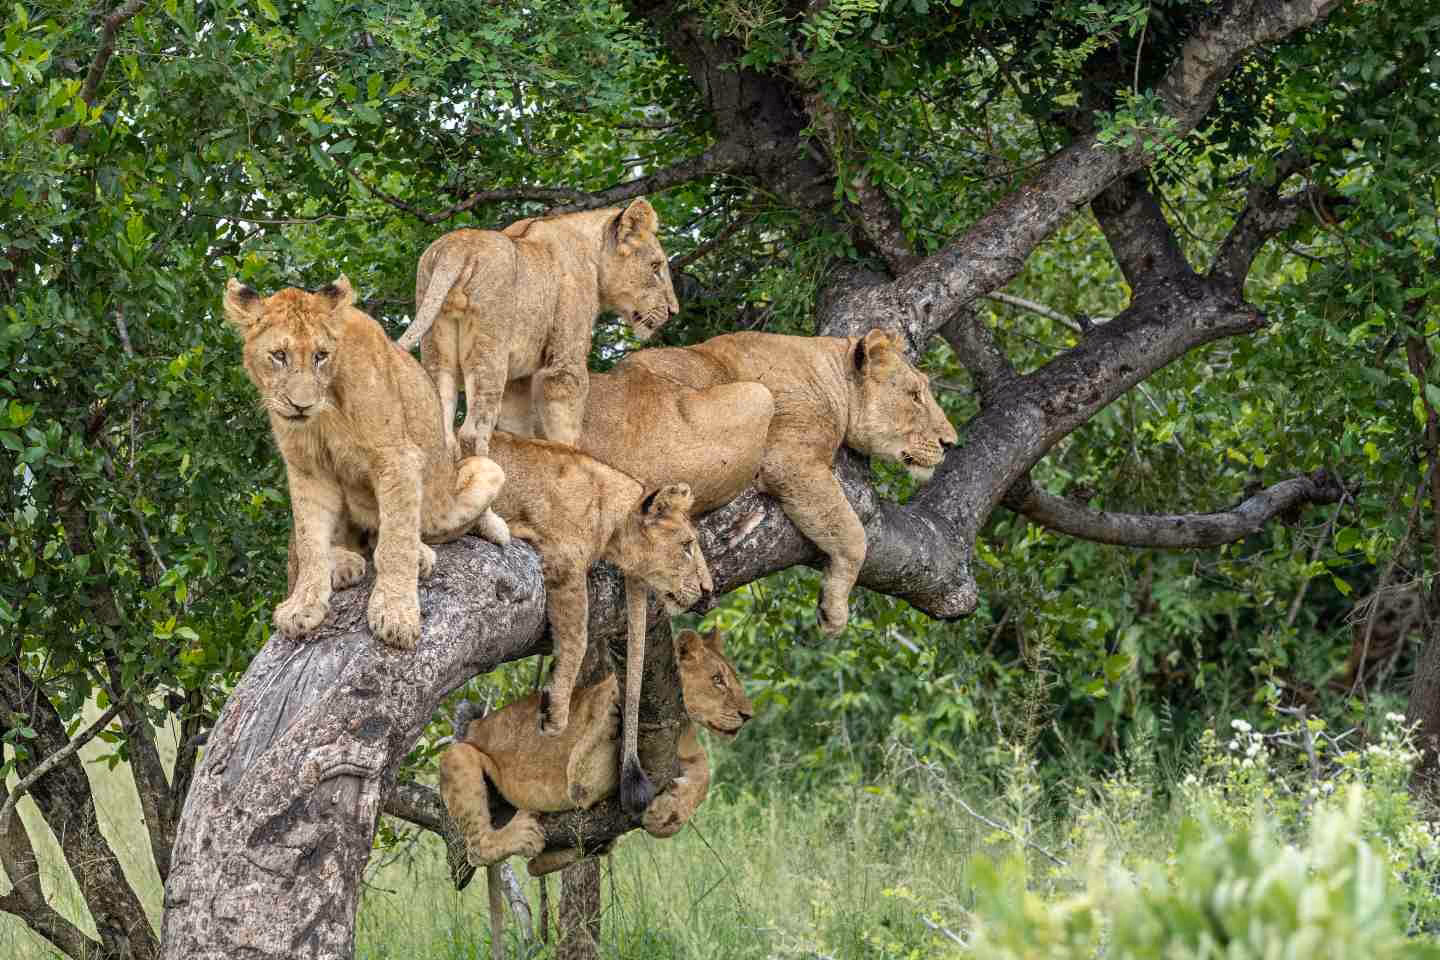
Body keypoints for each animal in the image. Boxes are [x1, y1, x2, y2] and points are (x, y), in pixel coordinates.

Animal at [224, 276, 510, 650]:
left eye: (320, 356)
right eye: (279, 356)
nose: (301, 406)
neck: (325, 411)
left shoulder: (397, 457)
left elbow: (396, 541)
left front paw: (396, 614)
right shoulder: (307, 470)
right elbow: (309, 539)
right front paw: (302, 606)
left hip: (482, 473)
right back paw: (344, 564)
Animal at [395, 199, 680, 457]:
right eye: (656, 267)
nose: (673, 311)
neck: (593, 255)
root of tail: (457, 246)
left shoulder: (517, 378)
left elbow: (518, 424)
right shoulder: (564, 360)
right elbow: (566, 423)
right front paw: (574, 457)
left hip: (436, 341)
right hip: (490, 350)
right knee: (472, 431)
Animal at [438, 627, 753, 957]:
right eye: (717, 679)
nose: (748, 715)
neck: (681, 724)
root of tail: (474, 727)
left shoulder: (689, 754)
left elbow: (704, 776)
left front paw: (667, 816)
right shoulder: (582, 781)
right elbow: (593, 757)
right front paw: (615, 706)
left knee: (535, 866)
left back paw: (585, 846)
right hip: (459, 755)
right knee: (478, 848)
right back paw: (524, 833)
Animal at [502, 328, 957, 633]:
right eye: (916, 395)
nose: (950, 442)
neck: (829, 370)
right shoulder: (792, 458)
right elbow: (851, 534)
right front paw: (834, 611)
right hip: (754, 397)